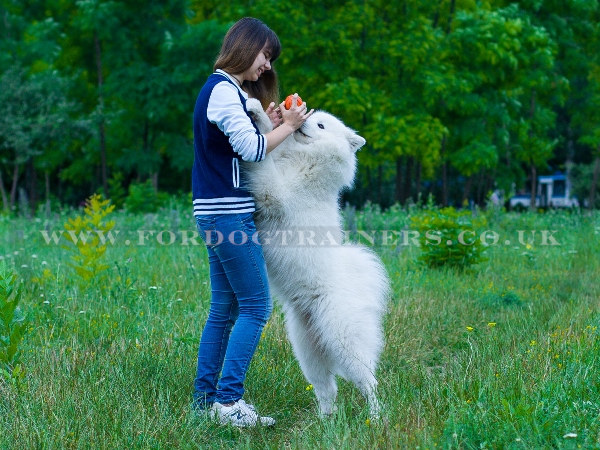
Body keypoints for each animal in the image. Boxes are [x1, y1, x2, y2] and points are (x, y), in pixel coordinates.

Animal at [244, 99, 390, 418]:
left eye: (321, 125)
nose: (300, 121)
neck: (305, 161)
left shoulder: (275, 193)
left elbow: (263, 162)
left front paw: (257, 112)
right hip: (307, 350)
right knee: (327, 389)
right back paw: (325, 420)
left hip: (344, 340)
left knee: (369, 382)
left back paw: (375, 418)